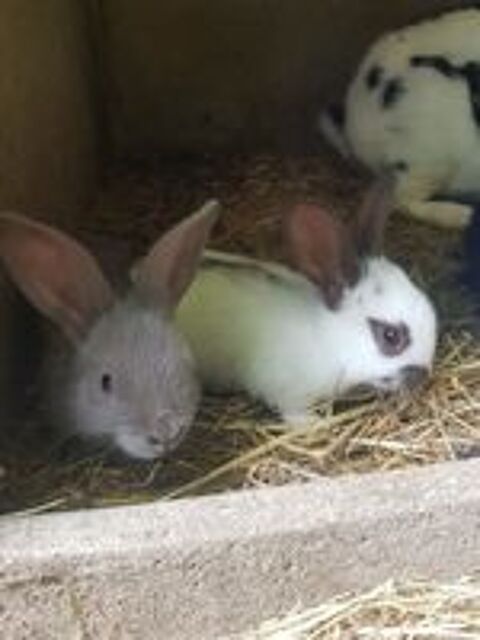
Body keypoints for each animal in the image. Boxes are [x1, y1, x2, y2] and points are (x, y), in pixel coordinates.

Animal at [163, 180, 438, 423]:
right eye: (391, 336)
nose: (423, 375)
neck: (329, 342)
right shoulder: (287, 392)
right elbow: (292, 412)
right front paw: (313, 423)